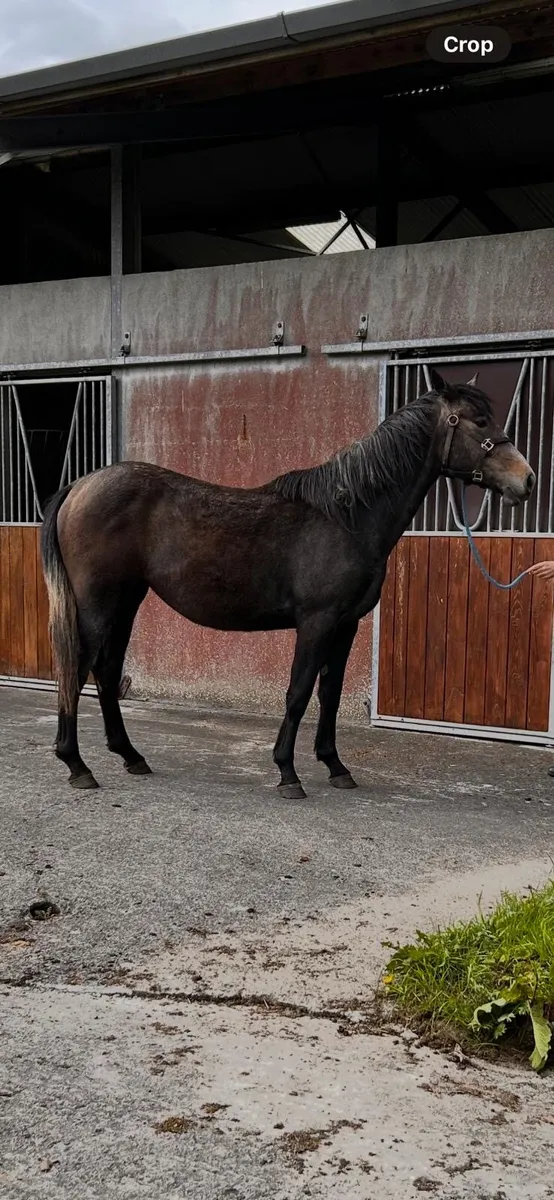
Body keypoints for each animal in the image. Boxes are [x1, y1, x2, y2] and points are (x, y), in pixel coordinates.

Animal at [40, 370, 535, 798]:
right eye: (479, 421)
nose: (526, 480)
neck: (347, 517)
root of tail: (79, 486)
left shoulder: (346, 625)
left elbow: (329, 695)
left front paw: (335, 766)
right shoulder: (317, 622)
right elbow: (298, 694)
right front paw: (287, 773)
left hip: (126, 601)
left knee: (105, 671)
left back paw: (130, 756)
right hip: (97, 604)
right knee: (76, 668)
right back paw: (77, 765)